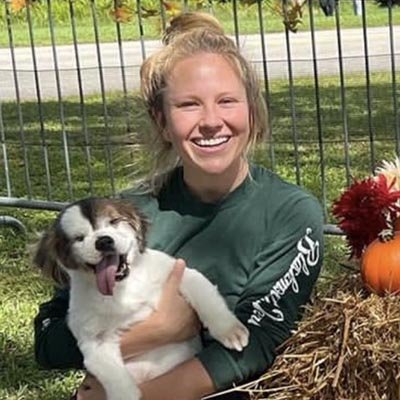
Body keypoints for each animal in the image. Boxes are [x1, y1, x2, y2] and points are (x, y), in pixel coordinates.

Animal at [34, 198, 248, 400]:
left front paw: (229, 330)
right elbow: (114, 376)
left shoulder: (183, 274)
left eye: (114, 221)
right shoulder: (94, 341)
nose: (103, 241)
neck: (123, 287)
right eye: (79, 238)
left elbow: (207, 299)